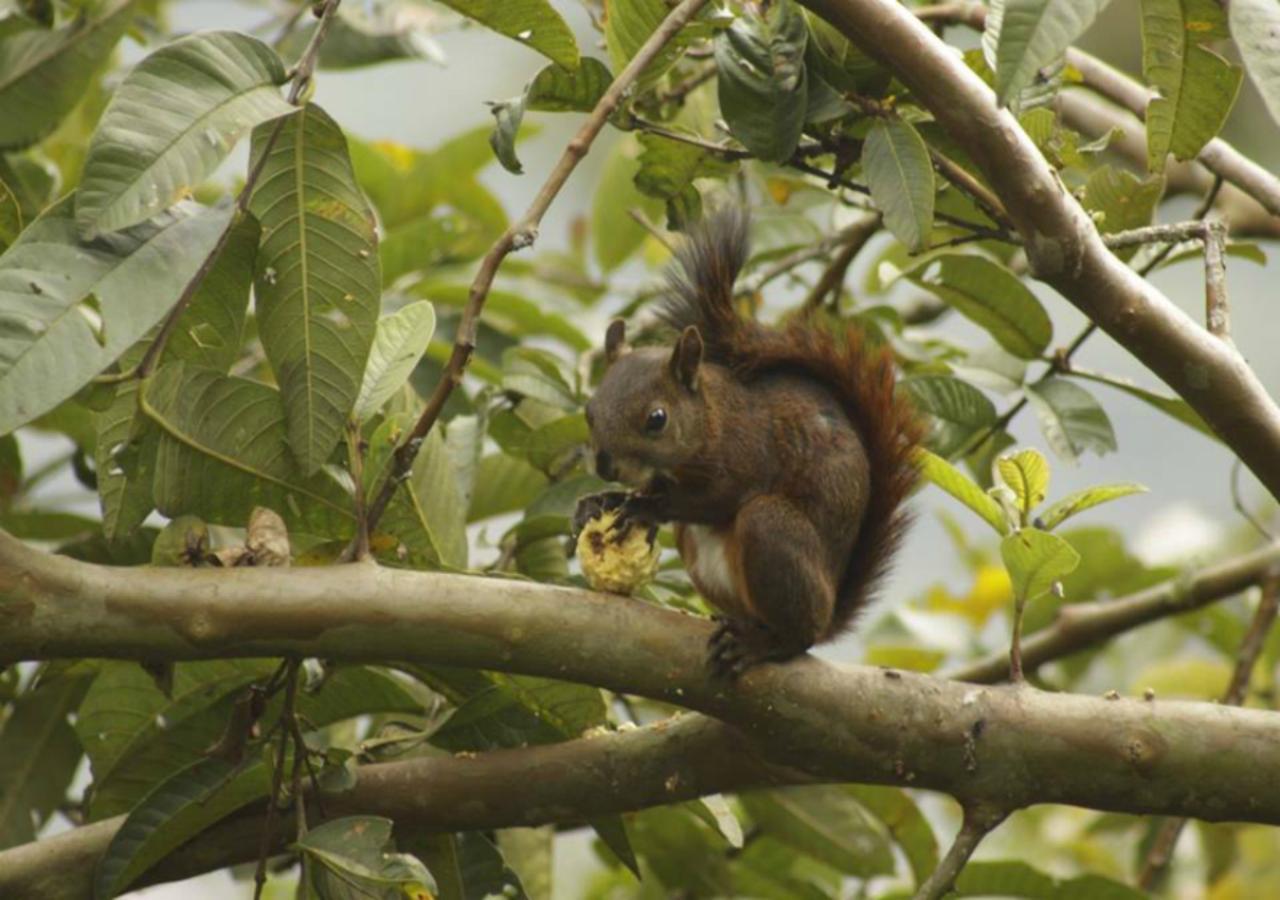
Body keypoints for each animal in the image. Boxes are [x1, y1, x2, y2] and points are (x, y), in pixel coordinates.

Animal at [581, 209, 921, 675]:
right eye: (588, 410)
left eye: (656, 420)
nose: (605, 467)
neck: (712, 418)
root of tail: (829, 610)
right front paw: (602, 501)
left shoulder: (748, 454)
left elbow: (717, 499)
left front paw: (644, 507)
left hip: (772, 529)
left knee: (797, 635)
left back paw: (761, 644)